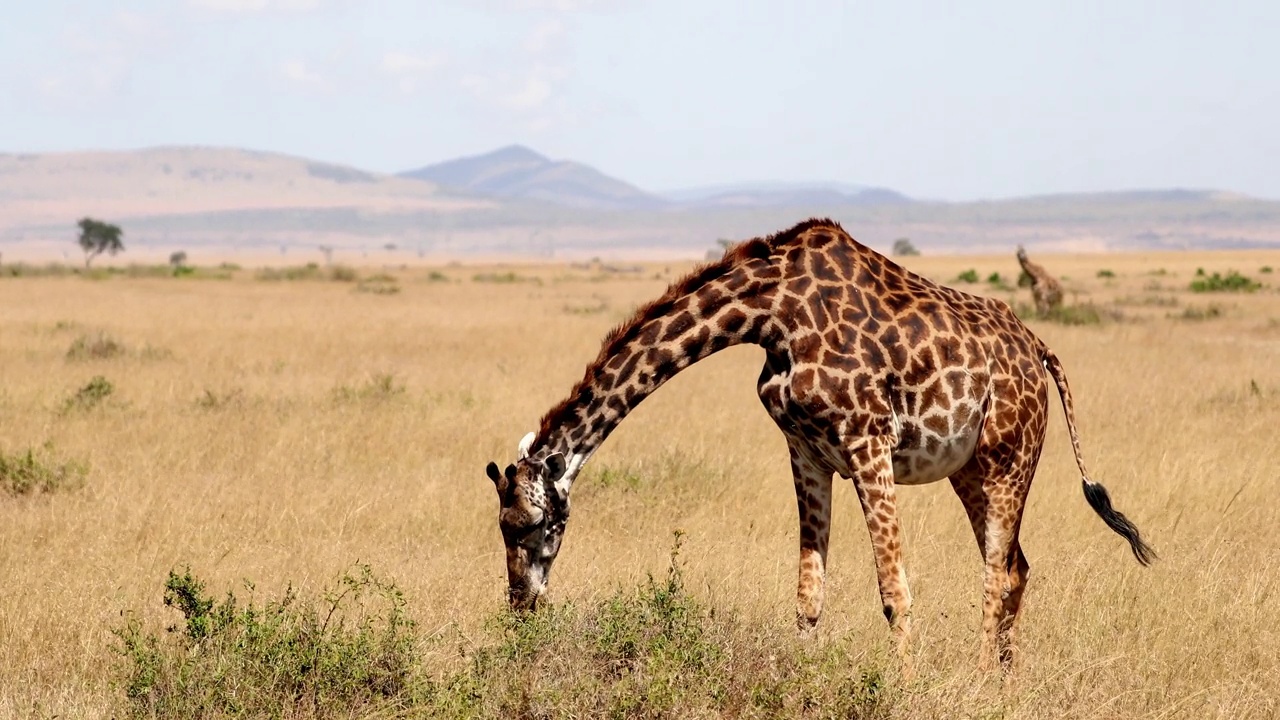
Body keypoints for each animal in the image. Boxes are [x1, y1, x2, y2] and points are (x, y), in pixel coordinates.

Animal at [483, 217, 1157, 666]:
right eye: (503, 528)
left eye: (528, 526)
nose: (520, 606)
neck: (769, 316)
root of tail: (1040, 348)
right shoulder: (806, 452)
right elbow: (808, 595)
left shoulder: (868, 441)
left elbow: (894, 592)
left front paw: (904, 686)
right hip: (969, 470)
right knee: (1015, 567)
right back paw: (1002, 679)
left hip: (1009, 457)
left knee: (995, 575)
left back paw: (978, 677)